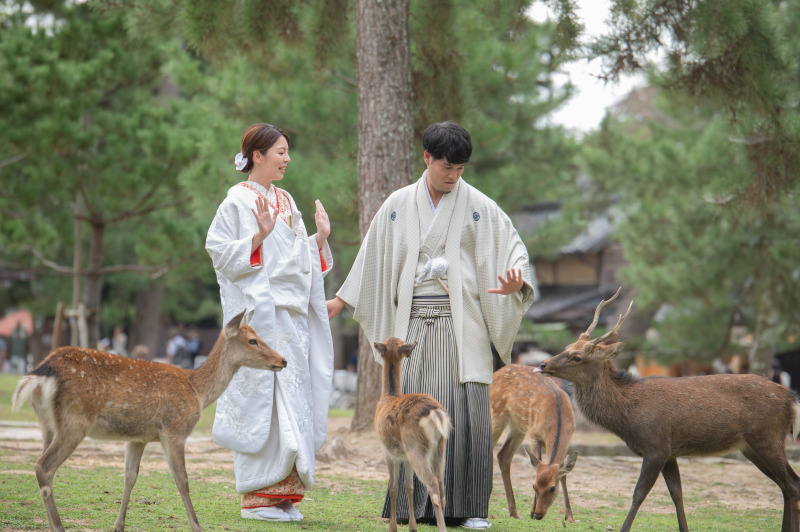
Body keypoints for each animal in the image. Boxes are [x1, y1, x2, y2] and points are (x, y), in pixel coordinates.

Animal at [11, 310, 286, 532]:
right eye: (253, 340)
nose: (282, 360)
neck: (197, 391)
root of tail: (40, 374)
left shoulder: (137, 437)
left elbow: (130, 477)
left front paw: (118, 526)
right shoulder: (174, 430)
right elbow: (182, 481)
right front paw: (197, 526)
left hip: (47, 423)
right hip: (75, 420)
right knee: (44, 466)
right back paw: (58, 526)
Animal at [374, 337, 451, 532]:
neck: (387, 396)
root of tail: (435, 412)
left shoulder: (388, 452)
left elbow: (393, 486)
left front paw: (393, 527)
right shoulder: (405, 457)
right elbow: (409, 486)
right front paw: (412, 527)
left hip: (415, 447)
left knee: (432, 485)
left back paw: (441, 528)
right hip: (439, 447)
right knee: (442, 486)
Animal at [490, 363, 578, 522]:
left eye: (552, 488)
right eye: (533, 486)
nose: (537, 514)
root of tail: (496, 372)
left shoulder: (568, 438)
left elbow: (564, 475)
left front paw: (570, 517)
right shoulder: (533, 434)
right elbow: (537, 463)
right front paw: (530, 510)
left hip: (517, 427)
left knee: (503, 455)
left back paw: (514, 512)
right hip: (496, 414)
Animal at [535, 287, 800, 532]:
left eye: (577, 357)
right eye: (567, 346)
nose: (543, 363)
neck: (627, 418)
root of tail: (791, 399)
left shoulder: (656, 446)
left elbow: (638, 493)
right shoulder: (671, 452)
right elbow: (677, 494)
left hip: (767, 437)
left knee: (792, 484)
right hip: (752, 446)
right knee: (787, 485)